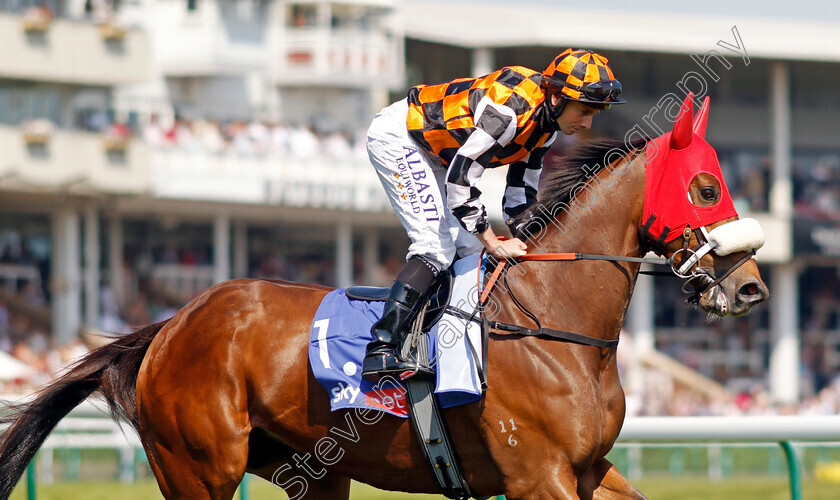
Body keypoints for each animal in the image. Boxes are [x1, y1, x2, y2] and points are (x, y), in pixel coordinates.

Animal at [0, 94, 768, 500]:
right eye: (706, 187)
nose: (752, 287)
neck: (553, 325)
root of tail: (168, 326)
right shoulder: (537, 475)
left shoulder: (587, 470)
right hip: (198, 467)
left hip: (309, 470)